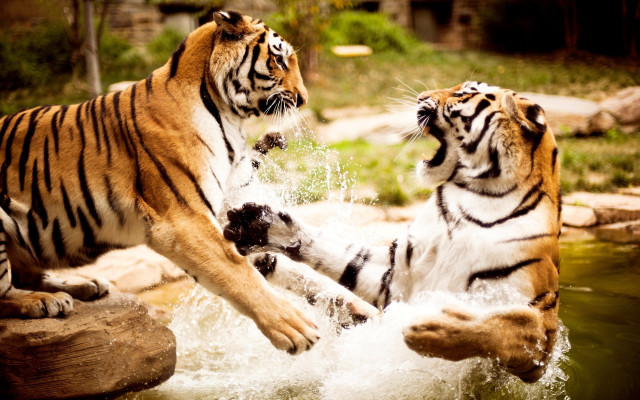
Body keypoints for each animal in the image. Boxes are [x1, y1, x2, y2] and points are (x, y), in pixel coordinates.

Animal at [0, 11, 321, 355]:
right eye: (279, 60)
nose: (304, 99)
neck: (226, 112)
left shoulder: (222, 211)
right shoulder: (183, 219)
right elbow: (237, 271)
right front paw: (295, 328)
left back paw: (86, 285)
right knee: (5, 291)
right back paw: (44, 301)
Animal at [223, 81, 562, 382]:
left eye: (464, 93)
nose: (421, 97)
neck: (474, 199)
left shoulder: (540, 335)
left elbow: (502, 325)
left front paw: (429, 330)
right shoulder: (397, 274)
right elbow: (338, 254)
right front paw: (260, 225)